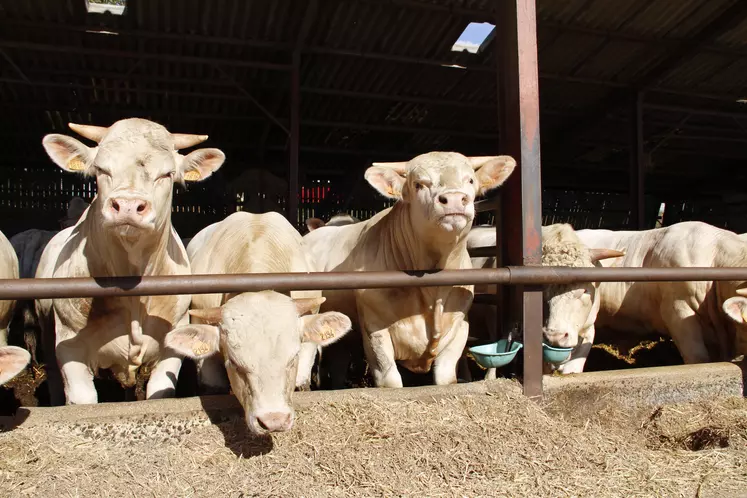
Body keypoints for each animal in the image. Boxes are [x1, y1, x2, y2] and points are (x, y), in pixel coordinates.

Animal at [35, 119, 226, 404]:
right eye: (101, 169)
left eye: (167, 174)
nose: (127, 206)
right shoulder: (70, 347)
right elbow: (81, 399)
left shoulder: (172, 346)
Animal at [300, 152, 516, 390]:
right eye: (418, 184)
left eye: (470, 180)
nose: (454, 199)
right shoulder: (375, 330)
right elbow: (391, 380)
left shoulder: (459, 327)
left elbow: (446, 377)